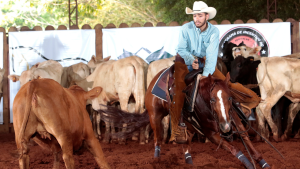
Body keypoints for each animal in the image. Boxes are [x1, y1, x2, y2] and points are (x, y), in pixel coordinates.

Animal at [100, 71, 272, 169]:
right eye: (212, 100)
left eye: (229, 98)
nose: (225, 126)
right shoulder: (211, 134)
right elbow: (235, 149)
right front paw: (249, 164)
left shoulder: (234, 121)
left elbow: (246, 138)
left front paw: (264, 163)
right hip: (155, 116)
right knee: (157, 139)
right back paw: (157, 160)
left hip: (187, 125)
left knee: (186, 144)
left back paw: (189, 163)